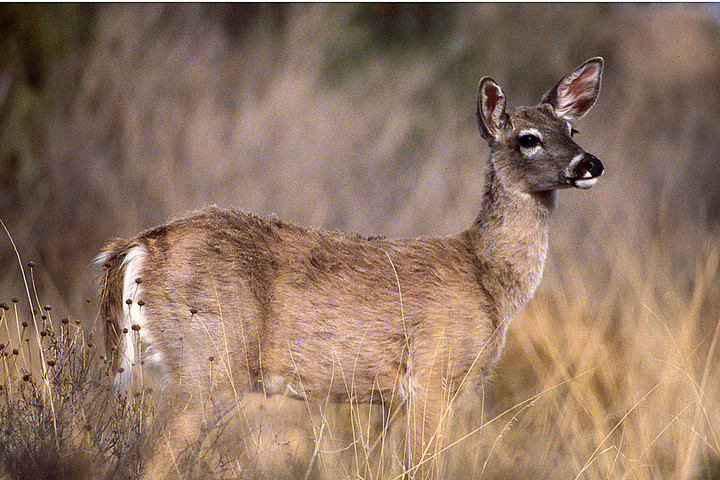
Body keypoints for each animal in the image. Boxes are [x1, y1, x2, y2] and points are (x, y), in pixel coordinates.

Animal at [95, 57, 600, 480]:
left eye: (572, 129)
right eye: (528, 139)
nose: (591, 163)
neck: (488, 278)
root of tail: (135, 247)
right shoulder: (434, 373)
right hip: (207, 359)